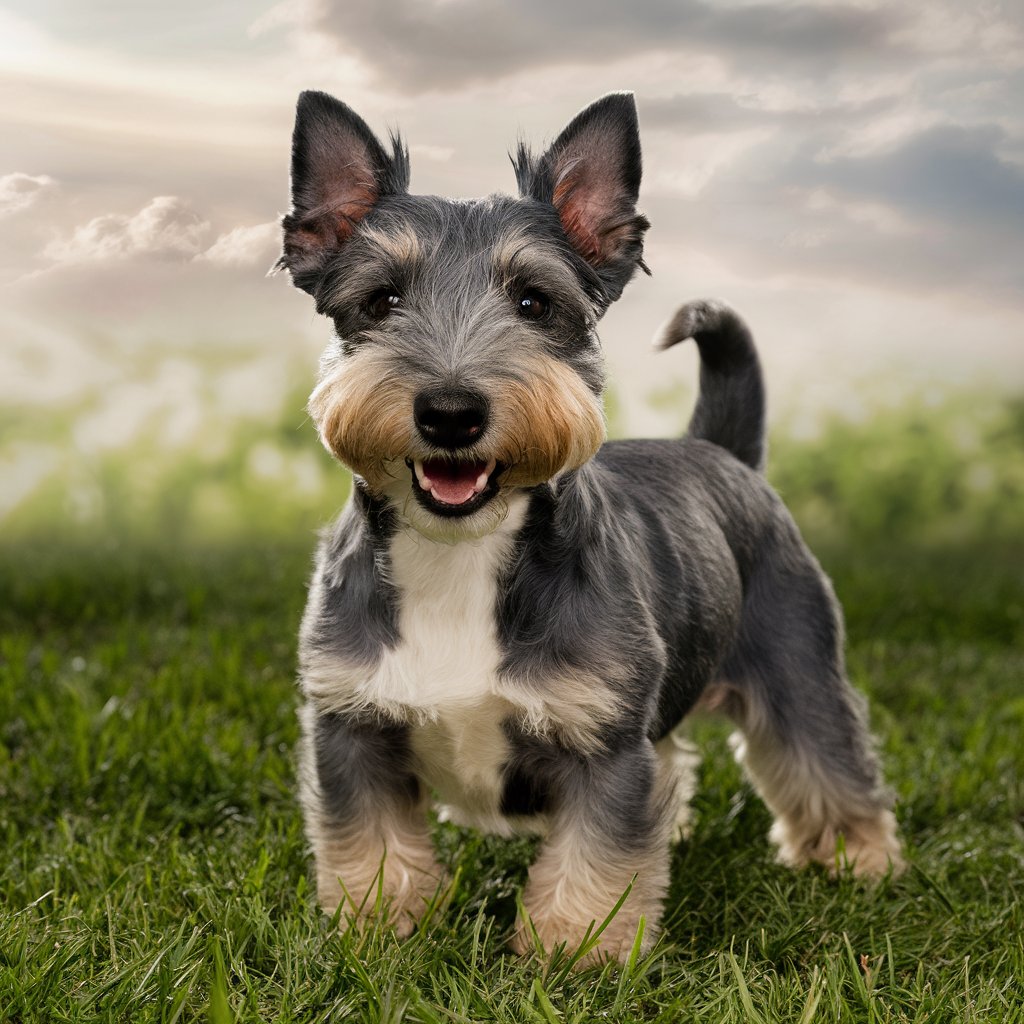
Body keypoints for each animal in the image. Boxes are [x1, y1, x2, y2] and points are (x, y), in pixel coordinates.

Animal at [274, 88, 905, 958]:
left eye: (534, 302)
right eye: (382, 300)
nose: (451, 413)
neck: (463, 555)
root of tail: (720, 449)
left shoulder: (603, 741)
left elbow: (596, 852)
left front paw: (578, 950)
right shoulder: (350, 725)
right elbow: (369, 841)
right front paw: (376, 929)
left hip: (797, 660)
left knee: (826, 754)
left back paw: (856, 857)